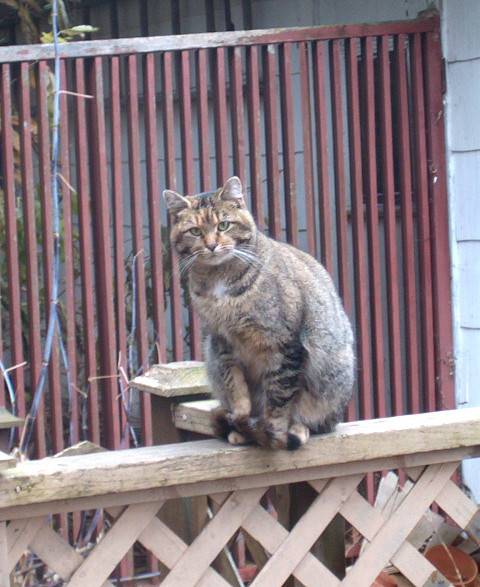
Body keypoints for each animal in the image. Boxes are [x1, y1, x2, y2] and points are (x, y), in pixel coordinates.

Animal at [163, 175, 354, 450]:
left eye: (223, 225)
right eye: (195, 231)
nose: (211, 246)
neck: (220, 281)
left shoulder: (284, 344)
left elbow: (278, 399)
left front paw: (273, 432)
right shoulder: (222, 342)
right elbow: (236, 388)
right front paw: (242, 419)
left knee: (319, 422)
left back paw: (296, 428)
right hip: (210, 355)